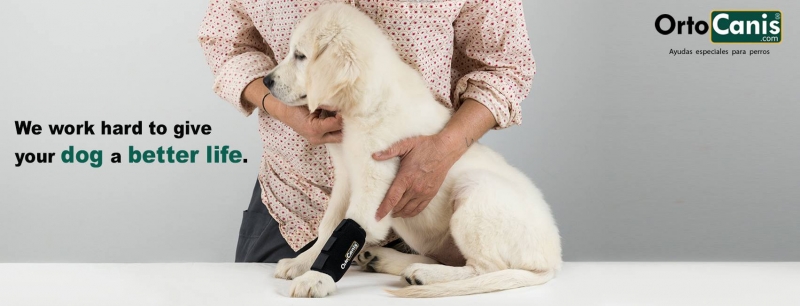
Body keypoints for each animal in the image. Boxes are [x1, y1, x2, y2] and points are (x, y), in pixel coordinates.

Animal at [264, 2, 564, 298]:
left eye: (300, 56)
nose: (266, 81)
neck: (364, 103)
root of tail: (553, 261)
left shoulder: (375, 181)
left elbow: (353, 227)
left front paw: (317, 278)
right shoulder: (347, 176)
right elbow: (329, 226)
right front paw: (303, 262)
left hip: (477, 189)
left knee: (485, 268)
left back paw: (424, 274)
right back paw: (384, 259)